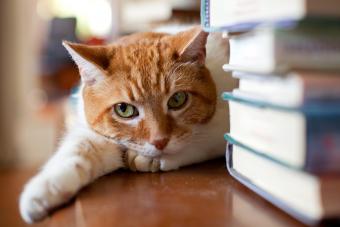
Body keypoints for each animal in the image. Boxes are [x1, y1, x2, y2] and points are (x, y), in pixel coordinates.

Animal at [18, 25, 236, 223]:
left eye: (177, 99)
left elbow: (200, 143)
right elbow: (77, 152)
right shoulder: (98, 134)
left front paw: (151, 159)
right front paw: (44, 190)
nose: (160, 141)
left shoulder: (223, 127)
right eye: (124, 109)